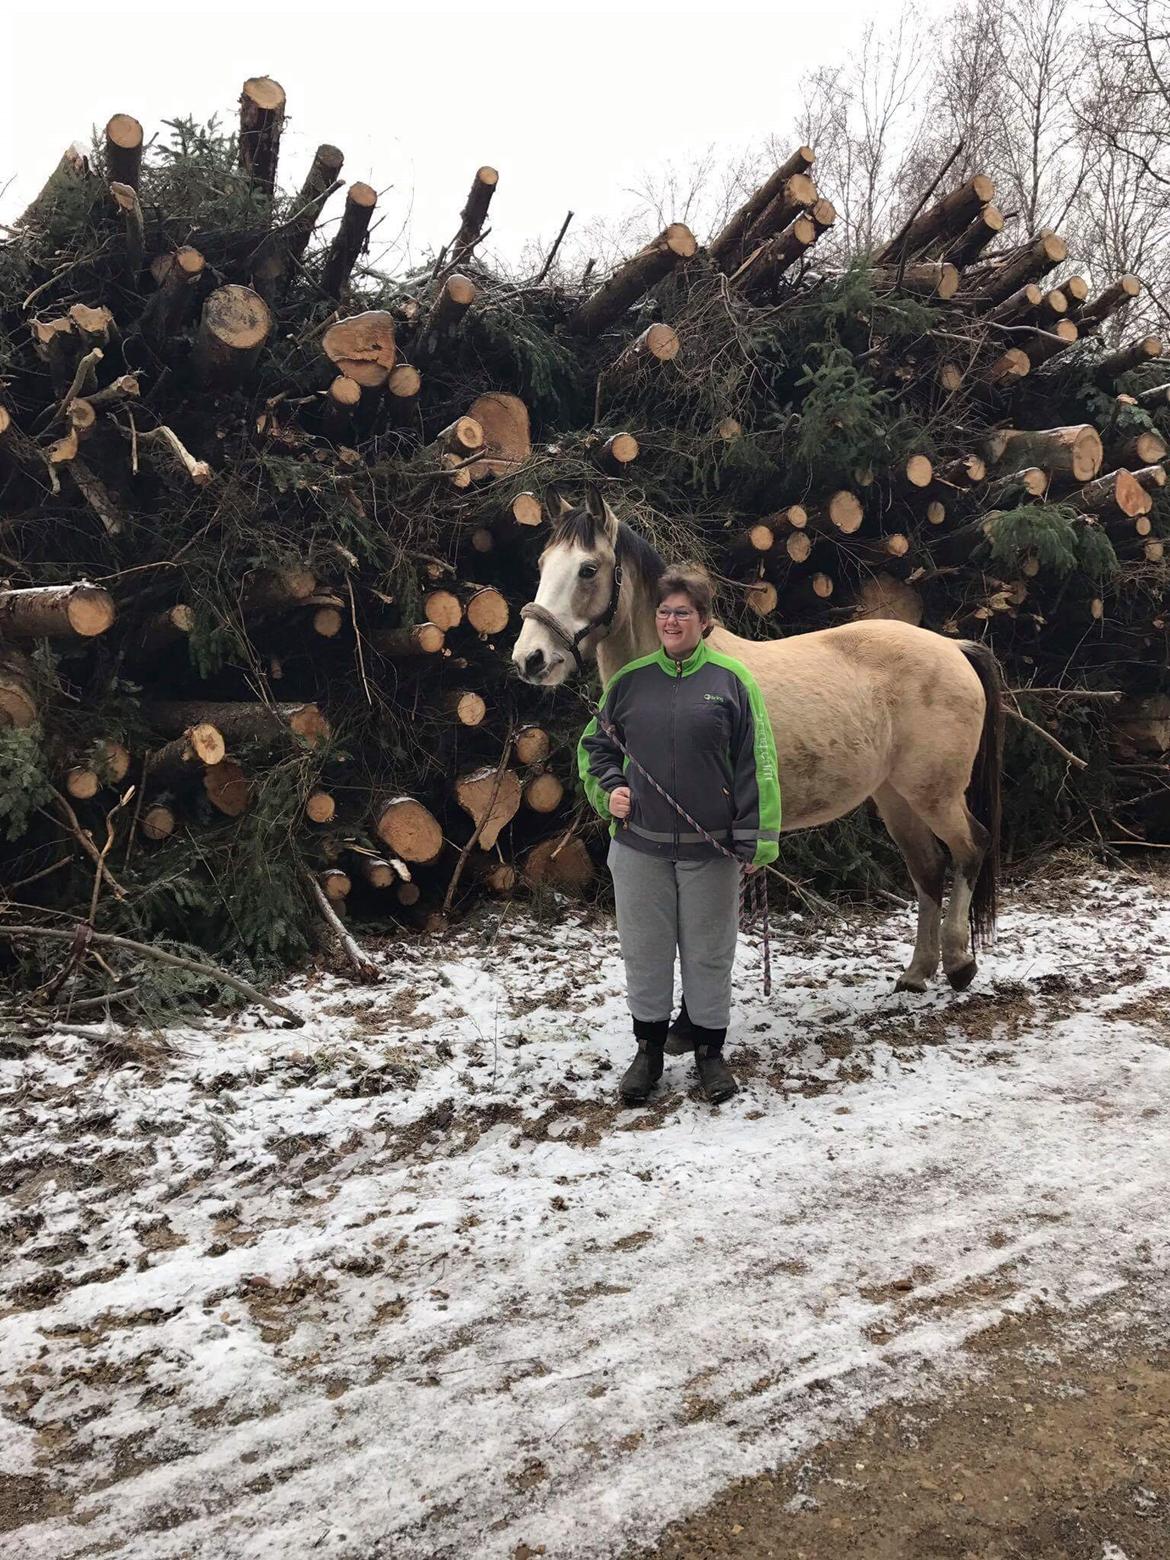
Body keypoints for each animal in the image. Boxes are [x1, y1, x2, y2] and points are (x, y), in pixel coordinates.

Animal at [511, 492, 1010, 992]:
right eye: (541, 563)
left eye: (588, 569)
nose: (529, 659)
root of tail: (954, 648)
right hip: (895, 797)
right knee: (928, 867)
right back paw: (917, 972)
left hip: (935, 794)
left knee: (972, 847)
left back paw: (959, 963)